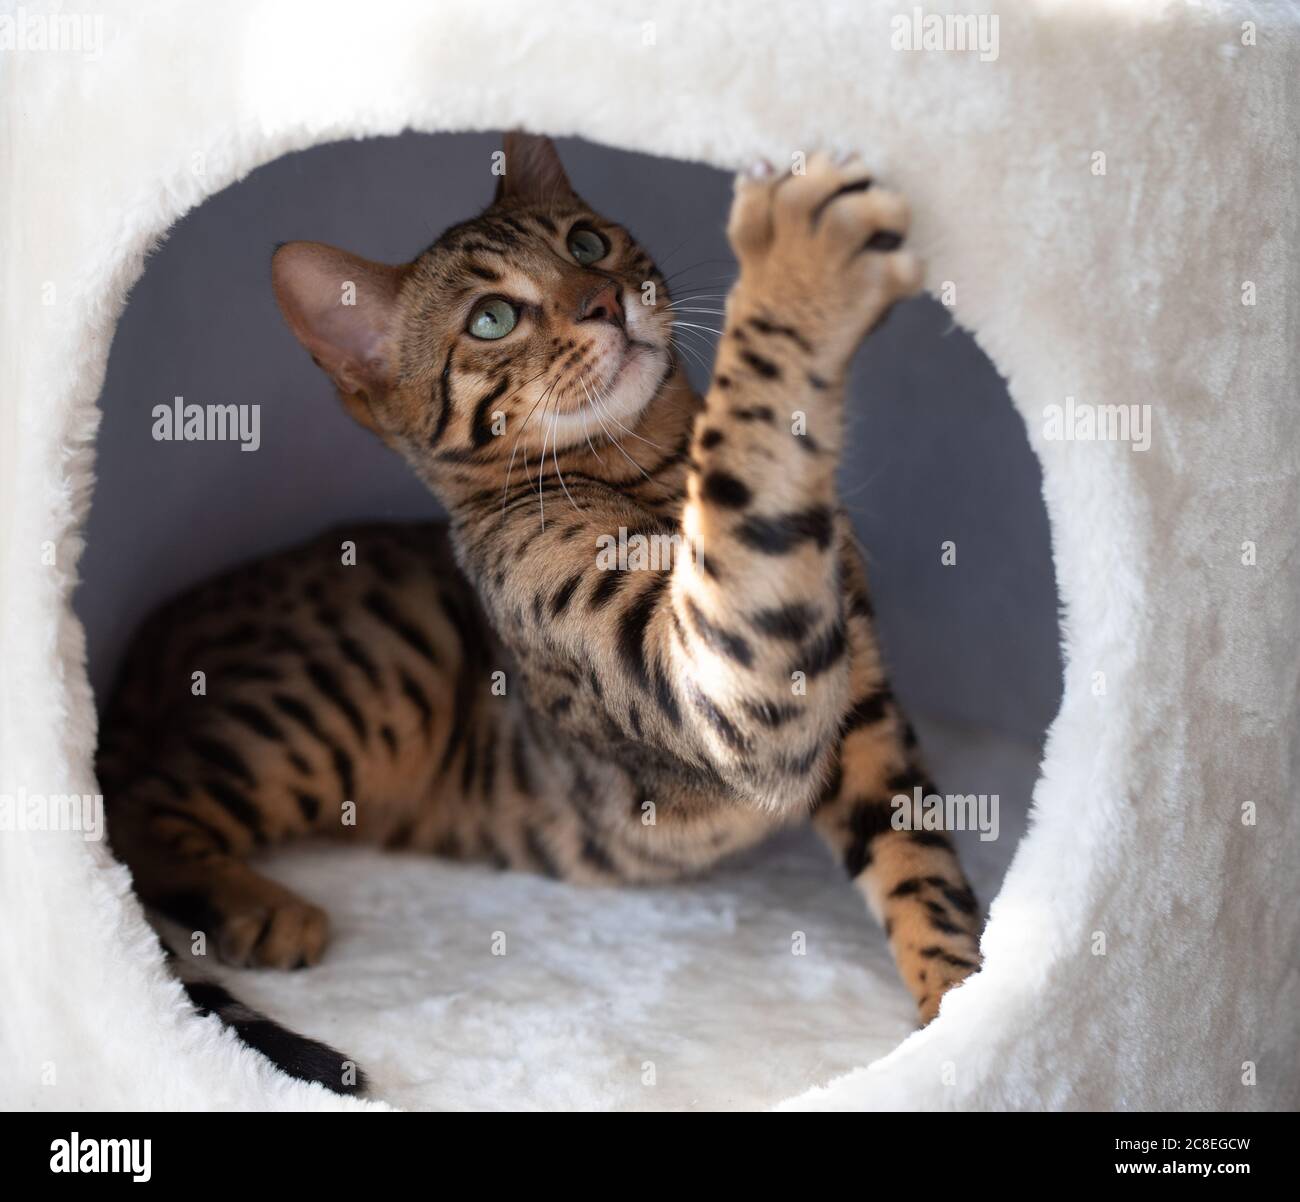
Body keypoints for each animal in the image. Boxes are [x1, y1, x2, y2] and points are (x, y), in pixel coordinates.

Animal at [98, 133, 977, 1096]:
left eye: (586, 244)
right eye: (491, 319)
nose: (603, 300)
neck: (654, 471)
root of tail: (145, 643)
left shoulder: (858, 708)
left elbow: (919, 865)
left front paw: (969, 1007)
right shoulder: (717, 682)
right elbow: (750, 454)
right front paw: (798, 264)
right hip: (352, 687)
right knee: (132, 819)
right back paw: (264, 908)